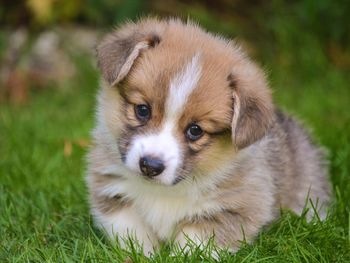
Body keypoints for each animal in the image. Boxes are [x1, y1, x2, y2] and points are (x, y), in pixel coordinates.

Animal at [87, 18, 330, 256]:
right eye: (142, 110)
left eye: (195, 130)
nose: (150, 166)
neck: (166, 190)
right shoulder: (113, 193)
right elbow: (133, 234)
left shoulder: (232, 210)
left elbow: (193, 244)